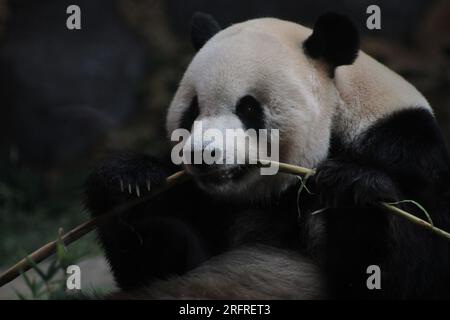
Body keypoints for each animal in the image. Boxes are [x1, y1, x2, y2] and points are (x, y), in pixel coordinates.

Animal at [84, 11, 450, 298]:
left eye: (248, 108)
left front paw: (351, 187)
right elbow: (153, 265)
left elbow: (405, 275)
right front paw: (127, 179)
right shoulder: (202, 201)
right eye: (193, 110)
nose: (203, 154)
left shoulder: (406, 152)